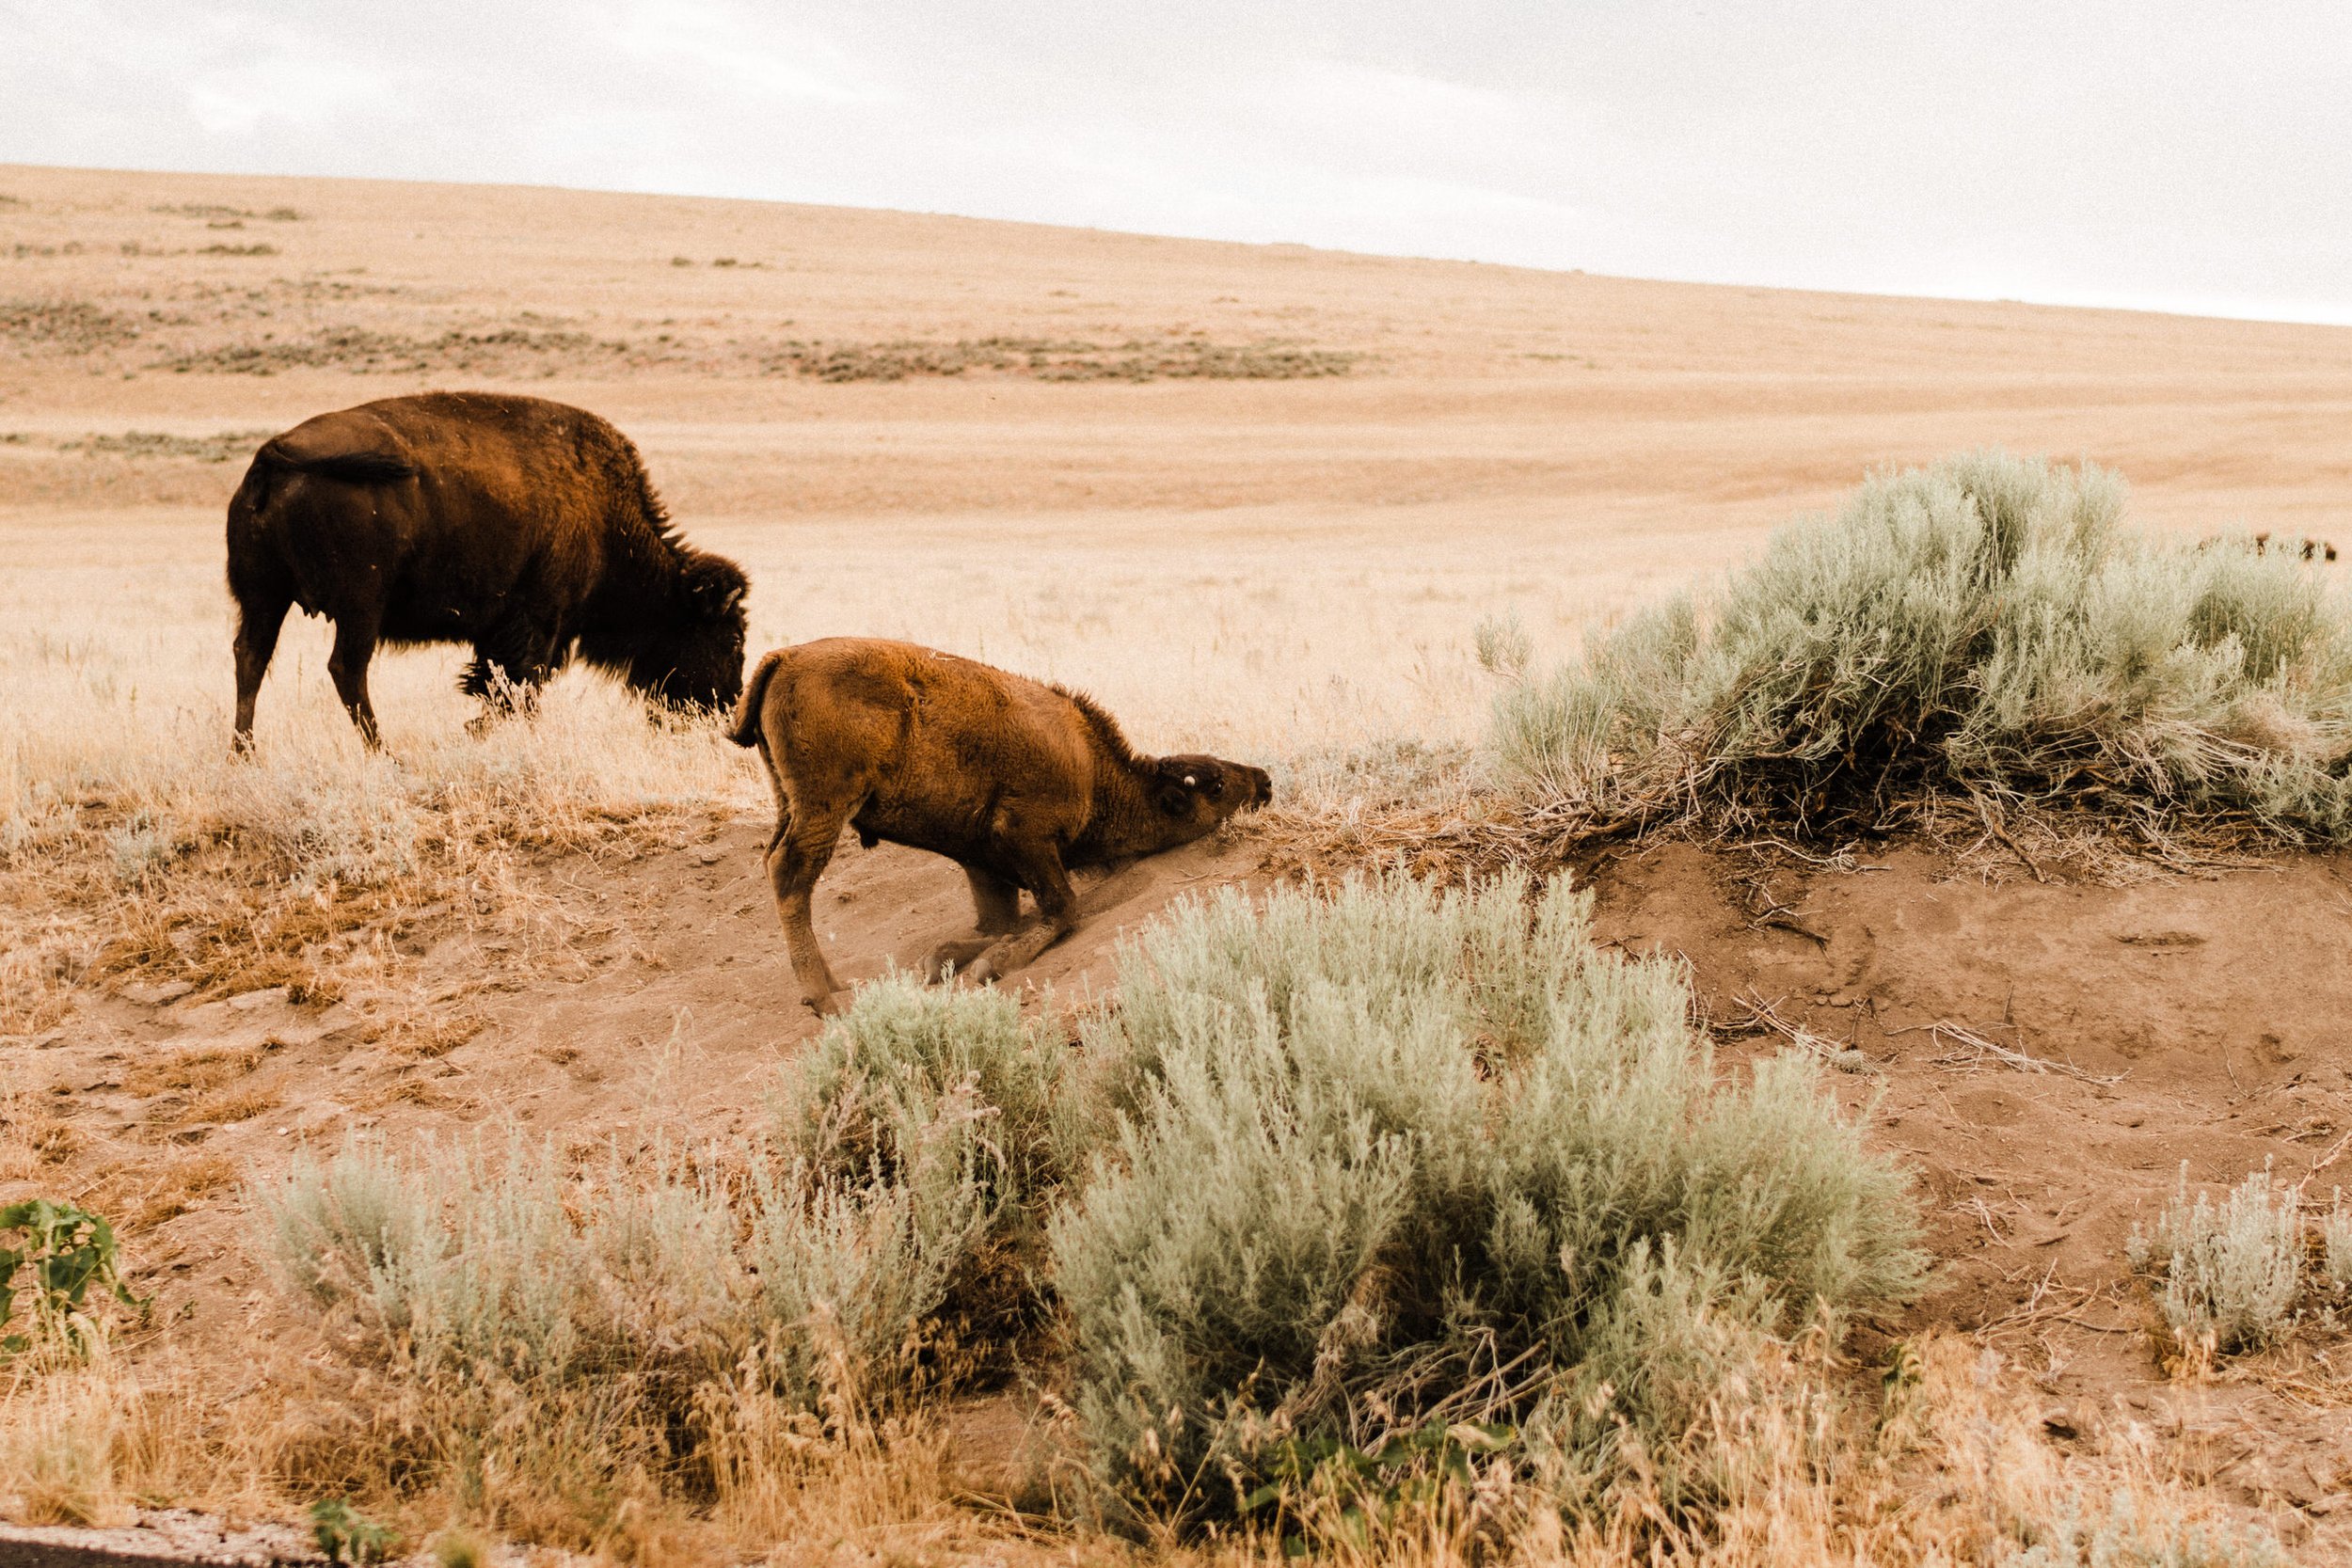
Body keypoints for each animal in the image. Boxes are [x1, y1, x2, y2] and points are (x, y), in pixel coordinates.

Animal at [223, 389, 743, 752]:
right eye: (732, 638)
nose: (729, 702)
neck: (604, 513)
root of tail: (273, 452)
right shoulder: (539, 622)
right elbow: (518, 687)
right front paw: (477, 732)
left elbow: (502, 685)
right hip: (359, 606)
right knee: (346, 669)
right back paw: (385, 755)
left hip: (264, 598)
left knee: (251, 658)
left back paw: (244, 755)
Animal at [734, 639, 1279, 1020]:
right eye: (1216, 786)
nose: (1265, 781)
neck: (1090, 769)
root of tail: (783, 657)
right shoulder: (1026, 839)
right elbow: (1063, 908)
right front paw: (992, 964)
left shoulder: (983, 863)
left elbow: (998, 922)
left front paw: (944, 958)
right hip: (824, 808)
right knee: (790, 875)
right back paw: (824, 997)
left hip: (788, 802)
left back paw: (832, 984)